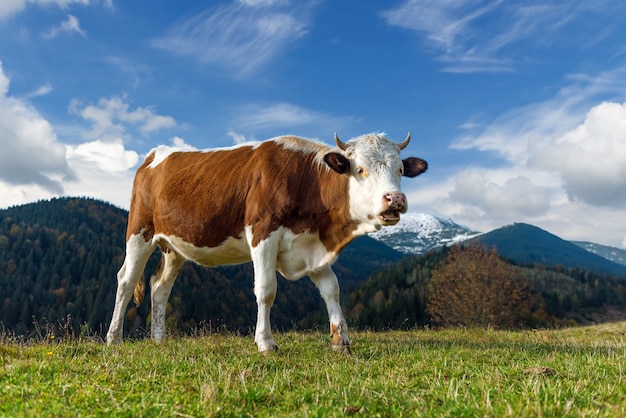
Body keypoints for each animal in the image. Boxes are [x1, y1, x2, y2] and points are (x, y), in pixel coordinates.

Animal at [107, 131, 426, 352]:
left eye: (400, 170)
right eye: (360, 170)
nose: (395, 199)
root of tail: (156, 154)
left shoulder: (310, 245)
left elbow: (332, 289)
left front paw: (341, 341)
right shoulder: (263, 233)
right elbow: (266, 290)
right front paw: (265, 343)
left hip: (174, 245)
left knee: (160, 286)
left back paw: (158, 339)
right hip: (139, 231)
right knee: (126, 281)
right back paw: (113, 339)